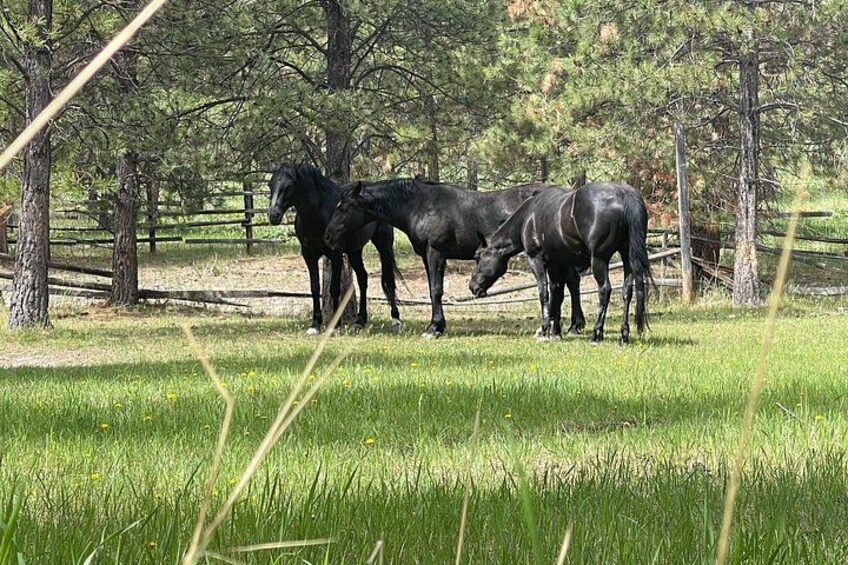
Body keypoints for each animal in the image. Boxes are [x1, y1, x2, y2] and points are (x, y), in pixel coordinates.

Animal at [267, 164, 401, 335]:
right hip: (355, 251)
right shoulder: (309, 255)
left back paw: (396, 320)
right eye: (270, 185)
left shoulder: (335, 254)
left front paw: (335, 325)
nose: (273, 215)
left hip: (383, 245)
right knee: (363, 278)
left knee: (388, 281)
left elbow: (334, 289)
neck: (317, 214)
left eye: (288, 186)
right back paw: (360, 321)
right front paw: (315, 324)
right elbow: (315, 288)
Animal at [323, 178, 550, 338]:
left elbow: (436, 290)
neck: (421, 206)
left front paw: (433, 328)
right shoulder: (426, 255)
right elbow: (433, 289)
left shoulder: (436, 253)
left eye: (343, 207)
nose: (328, 236)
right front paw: (437, 325)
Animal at [469, 182, 651, 344]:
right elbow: (557, 295)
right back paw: (624, 335)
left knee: (604, 290)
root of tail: (624, 195)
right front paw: (555, 331)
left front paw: (544, 331)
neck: (529, 216)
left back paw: (596, 334)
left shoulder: (537, 261)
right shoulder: (558, 265)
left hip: (599, 260)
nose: (472, 286)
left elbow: (544, 293)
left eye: (478, 256)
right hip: (627, 258)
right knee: (627, 291)